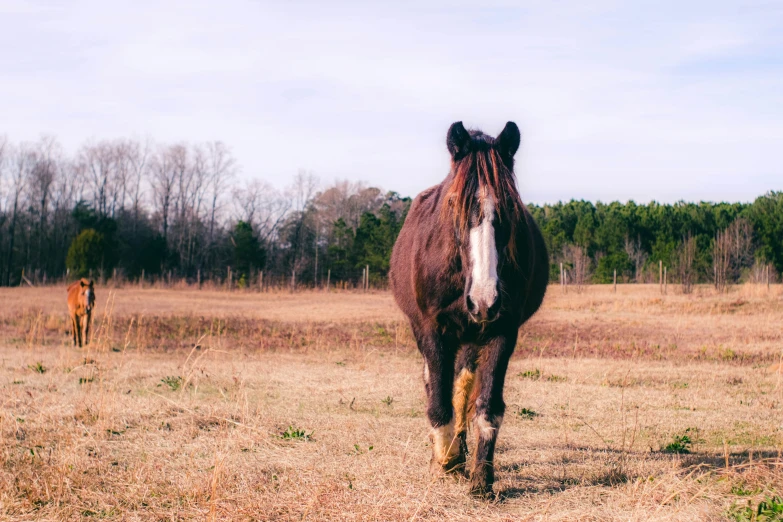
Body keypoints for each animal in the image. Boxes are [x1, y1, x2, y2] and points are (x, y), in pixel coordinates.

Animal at [388, 119, 548, 496]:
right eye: (453, 206)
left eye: (510, 207)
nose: (485, 299)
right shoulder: (432, 330)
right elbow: (438, 400)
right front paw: (443, 461)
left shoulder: (503, 331)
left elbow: (487, 405)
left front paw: (481, 478)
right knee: (436, 384)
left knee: (462, 386)